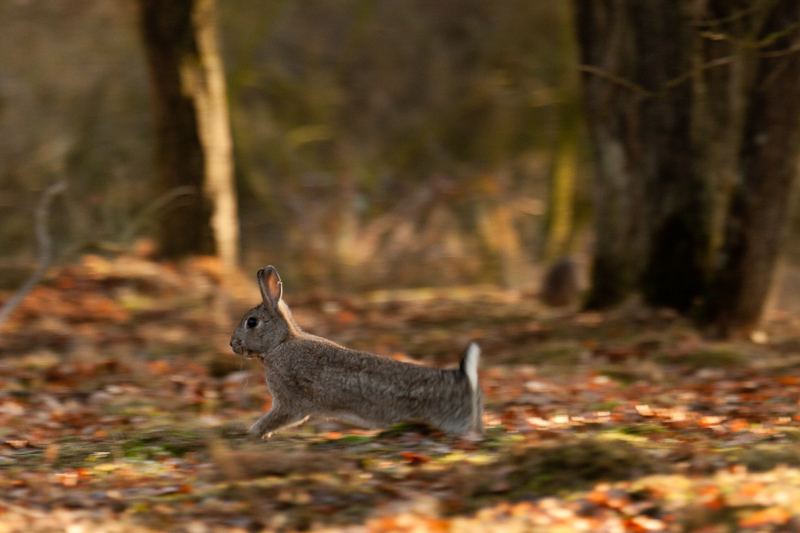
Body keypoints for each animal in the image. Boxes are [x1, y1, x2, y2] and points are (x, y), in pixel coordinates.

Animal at [230, 266, 483, 439]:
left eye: (252, 322)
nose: (232, 344)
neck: (280, 343)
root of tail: (466, 379)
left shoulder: (288, 402)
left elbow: (275, 418)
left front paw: (253, 432)